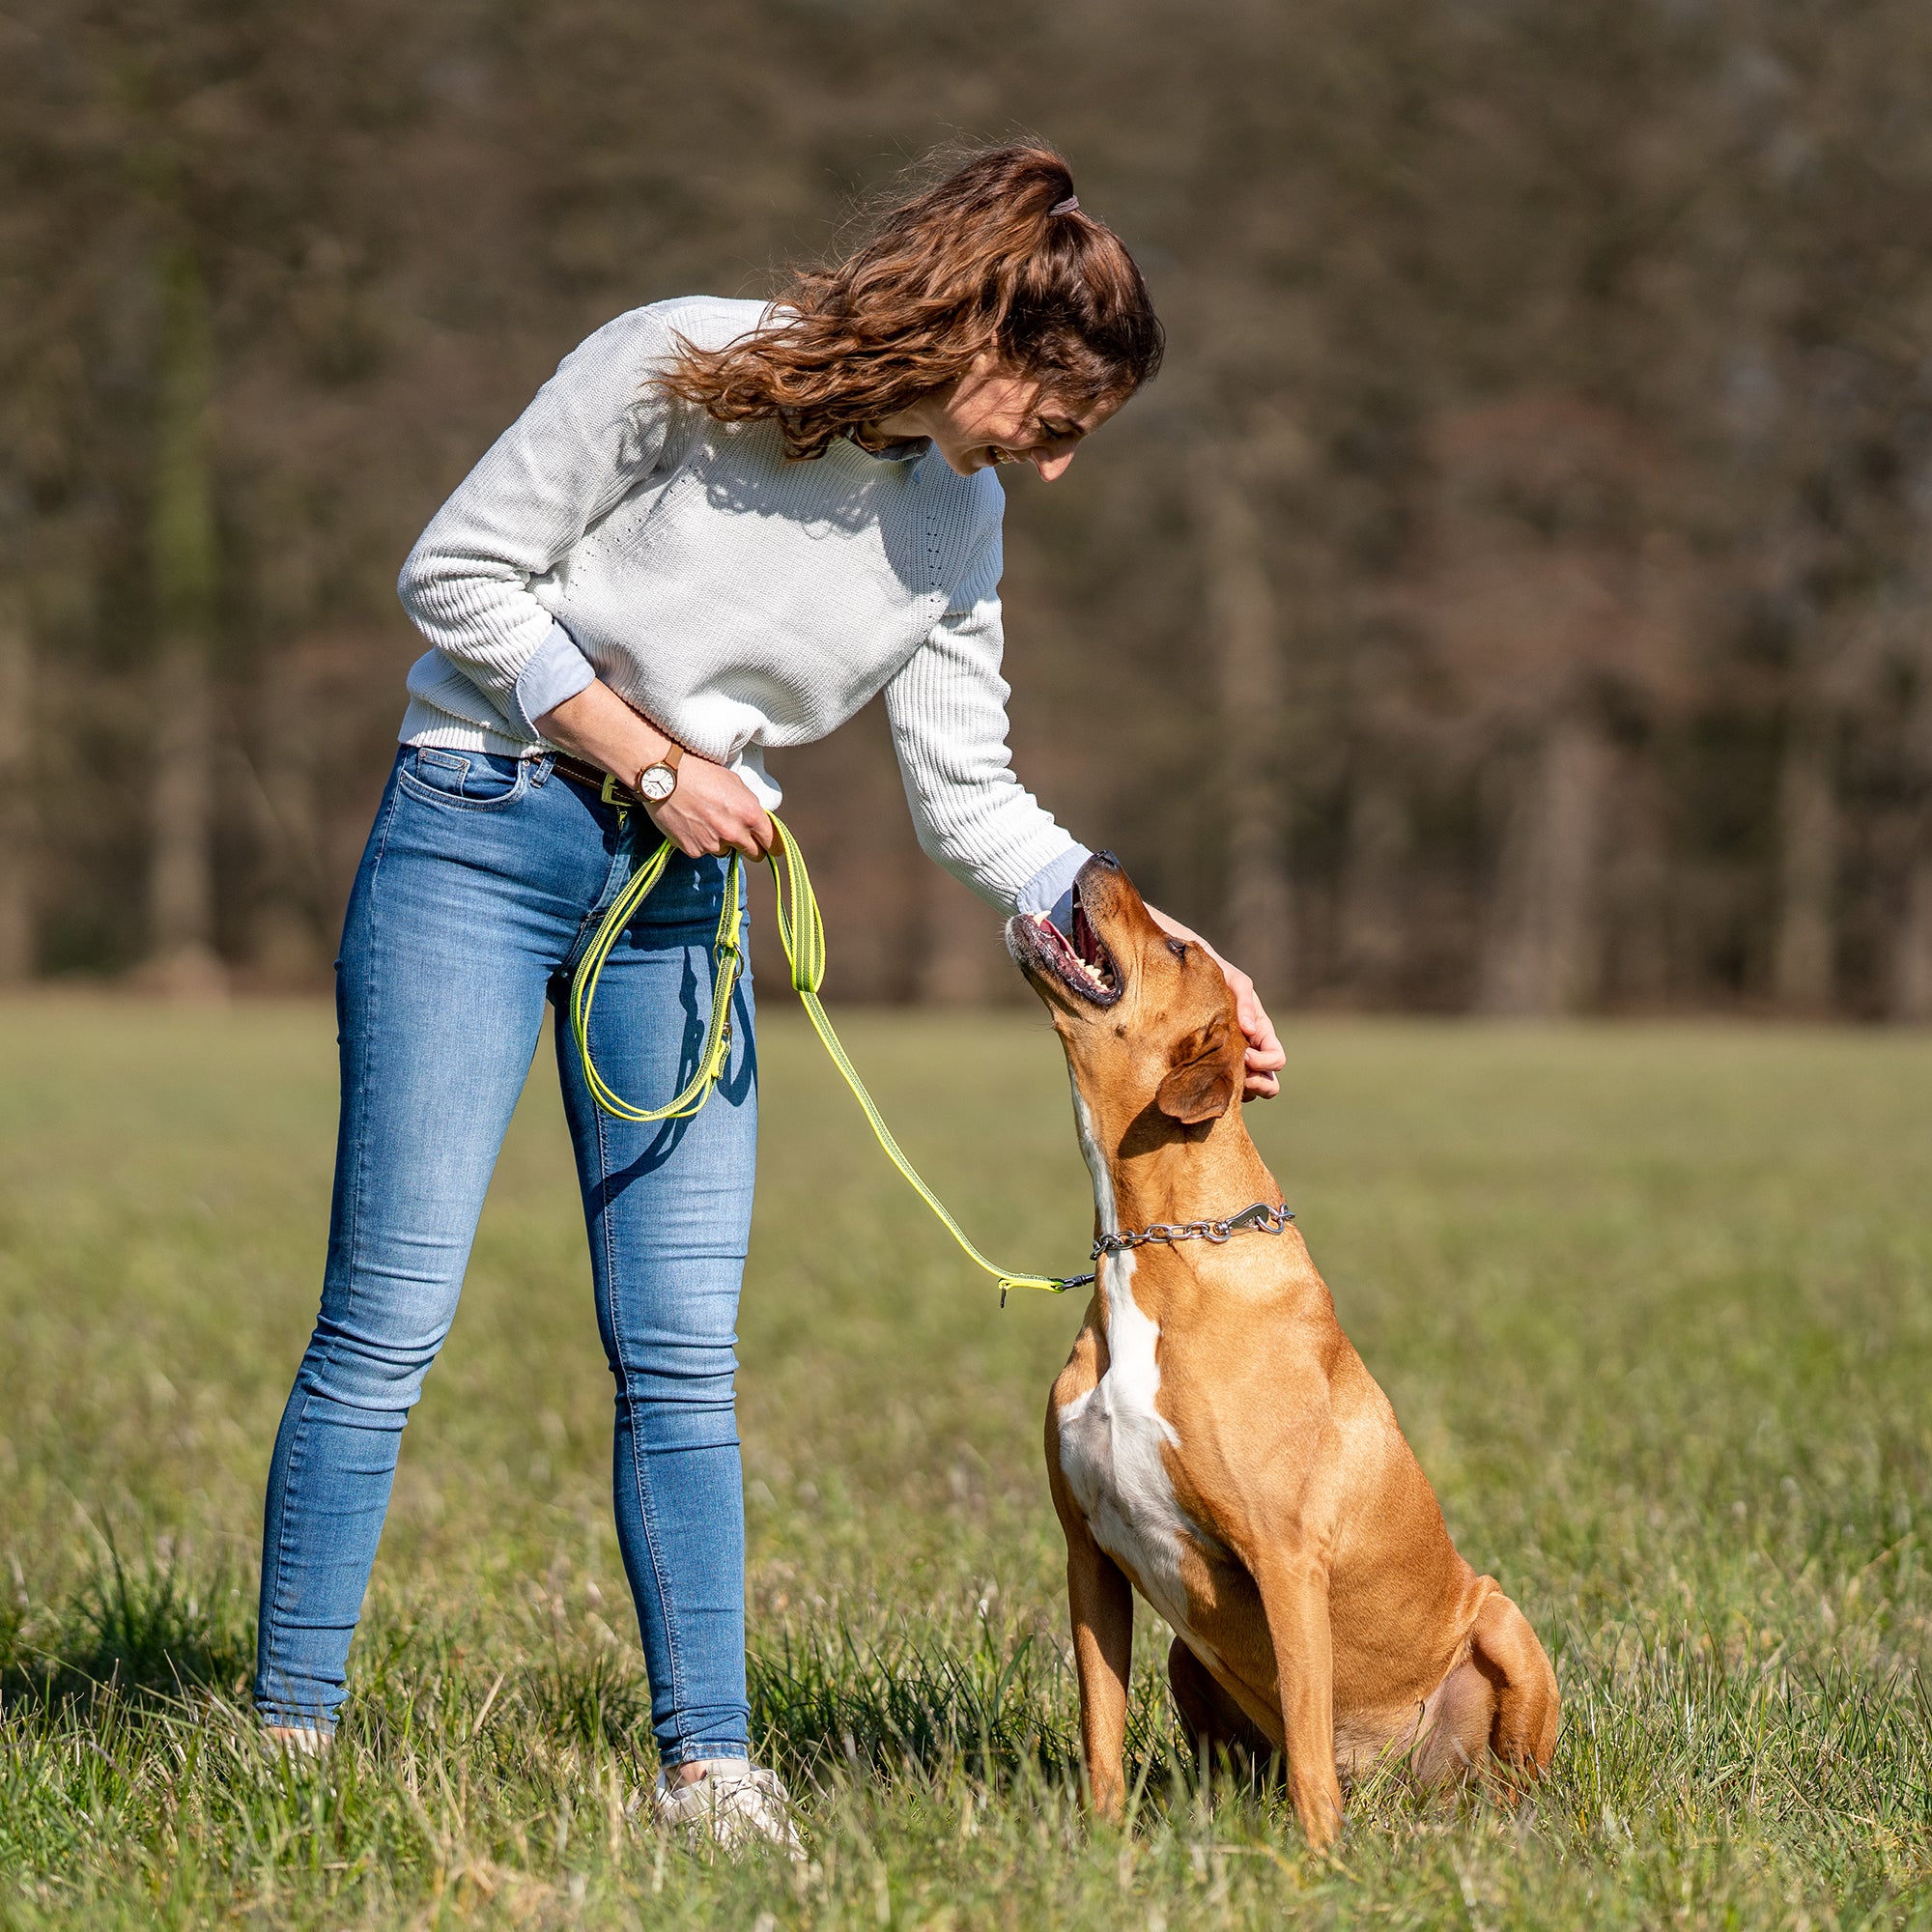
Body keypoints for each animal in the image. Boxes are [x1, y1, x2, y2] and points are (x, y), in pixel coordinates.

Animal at [1005, 858, 1561, 1839]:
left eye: (1178, 947)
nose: (1098, 859)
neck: (1154, 1251)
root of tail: (1401, 1784)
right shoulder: (1089, 1557)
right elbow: (1099, 1728)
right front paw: (1101, 1845)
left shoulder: (1286, 1559)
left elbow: (1307, 1745)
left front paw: (1319, 1858)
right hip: (1187, 1658)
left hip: (1503, 1621)